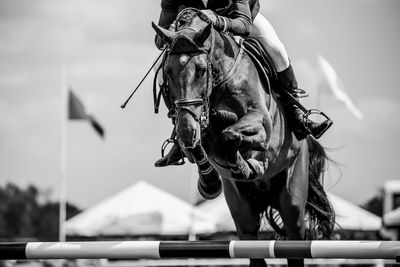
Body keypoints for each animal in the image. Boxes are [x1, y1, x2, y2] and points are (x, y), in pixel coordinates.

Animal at [152, 8, 334, 267]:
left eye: (202, 70)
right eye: (167, 72)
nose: (188, 128)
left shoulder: (262, 122)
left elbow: (230, 135)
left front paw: (246, 165)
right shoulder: (193, 125)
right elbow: (199, 145)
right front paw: (210, 183)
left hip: (292, 197)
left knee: (294, 238)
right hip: (242, 211)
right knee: (253, 245)